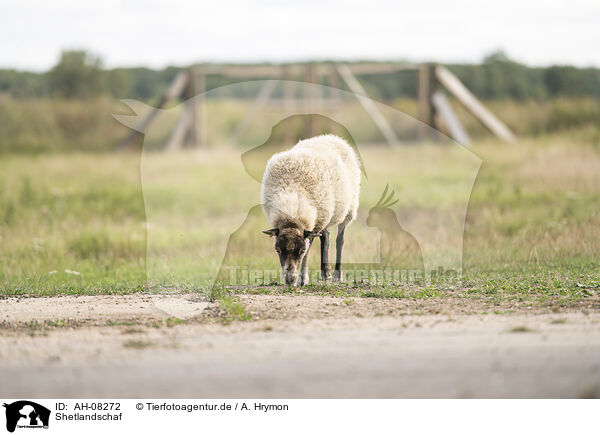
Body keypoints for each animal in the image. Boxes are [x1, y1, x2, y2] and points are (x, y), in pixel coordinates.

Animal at [258, 135, 360, 288]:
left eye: (301, 250)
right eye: (277, 250)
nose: (290, 281)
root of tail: (331, 137)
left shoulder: (310, 229)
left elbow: (308, 251)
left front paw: (302, 279)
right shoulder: (314, 222)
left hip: (348, 208)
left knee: (339, 240)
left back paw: (337, 275)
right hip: (323, 215)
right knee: (326, 236)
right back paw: (326, 273)